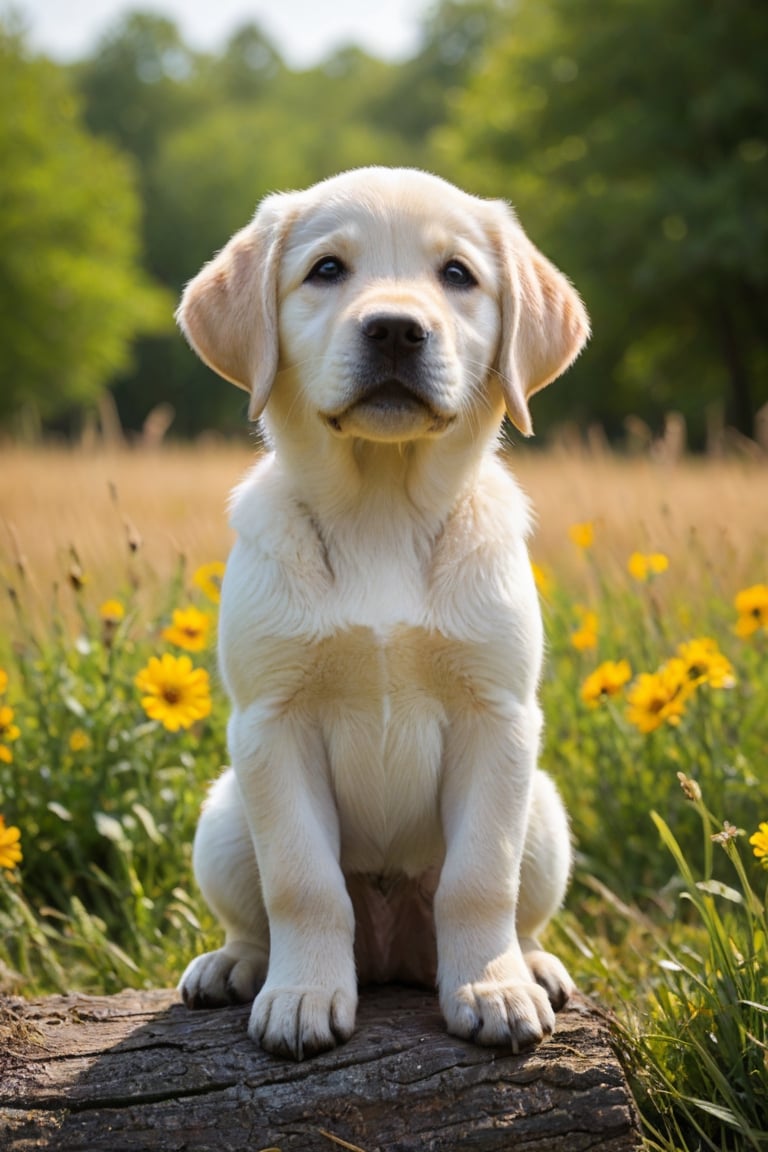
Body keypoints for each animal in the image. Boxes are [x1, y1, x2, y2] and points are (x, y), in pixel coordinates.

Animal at [177, 167, 594, 1055]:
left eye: (458, 275)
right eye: (327, 270)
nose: (397, 331)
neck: (381, 509)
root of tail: (392, 954)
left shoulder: (498, 718)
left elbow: (479, 879)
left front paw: (492, 988)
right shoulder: (271, 723)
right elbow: (303, 883)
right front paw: (302, 995)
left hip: (543, 812)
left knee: (516, 908)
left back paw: (531, 965)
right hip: (224, 815)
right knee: (258, 916)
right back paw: (237, 966)